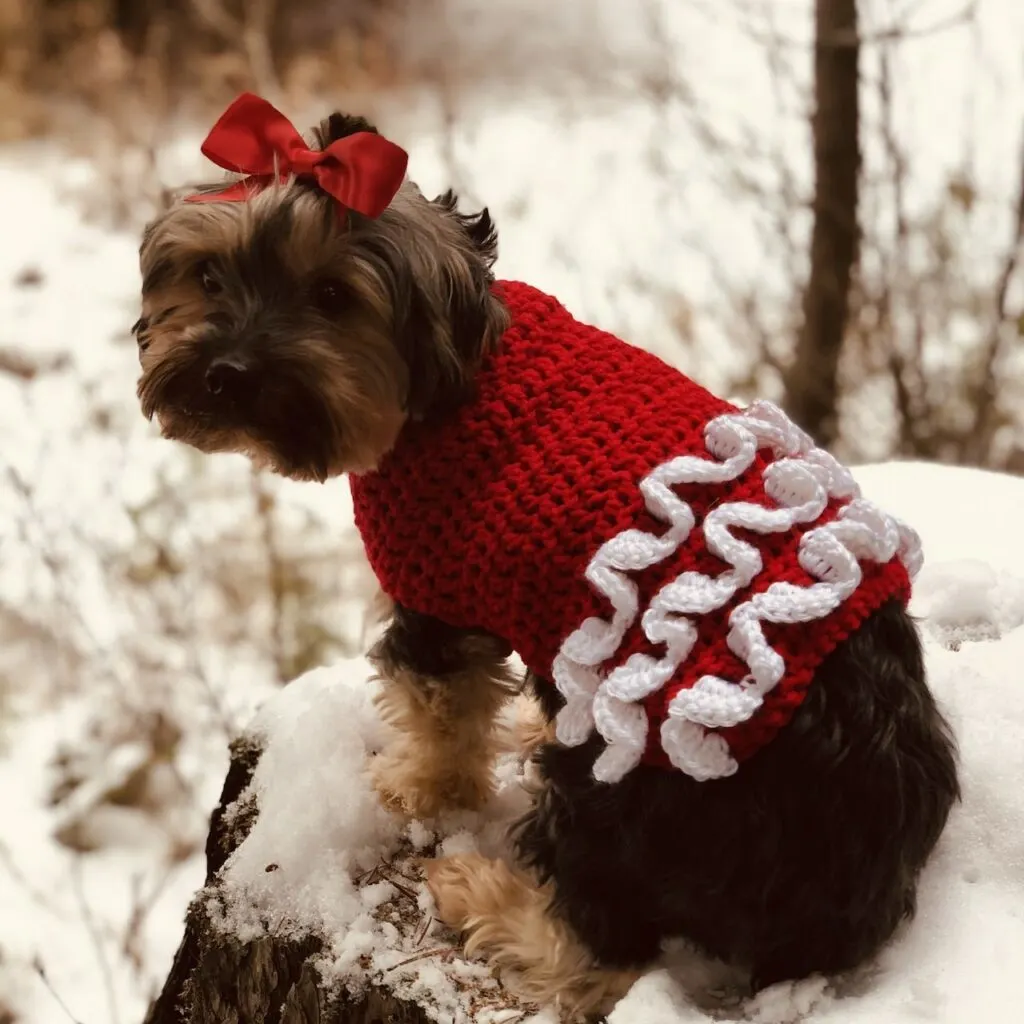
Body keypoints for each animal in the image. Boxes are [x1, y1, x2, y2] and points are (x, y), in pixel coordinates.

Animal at [134, 94, 958, 1015]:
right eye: (208, 276)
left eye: (332, 296)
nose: (227, 371)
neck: (453, 373)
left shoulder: (434, 588)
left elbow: (441, 712)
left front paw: (418, 789)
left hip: (628, 774)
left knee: (602, 952)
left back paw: (484, 898)